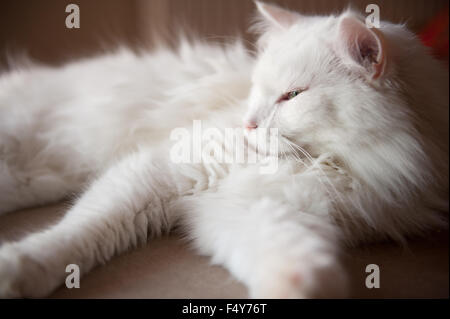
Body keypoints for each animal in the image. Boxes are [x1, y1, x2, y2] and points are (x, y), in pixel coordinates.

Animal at [0, 1, 448, 298]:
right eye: (257, 89)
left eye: (291, 96)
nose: (248, 123)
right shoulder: (160, 170)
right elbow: (80, 231)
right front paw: (21, 269)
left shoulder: (257, 207)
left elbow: (292, 256)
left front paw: (302, 286)